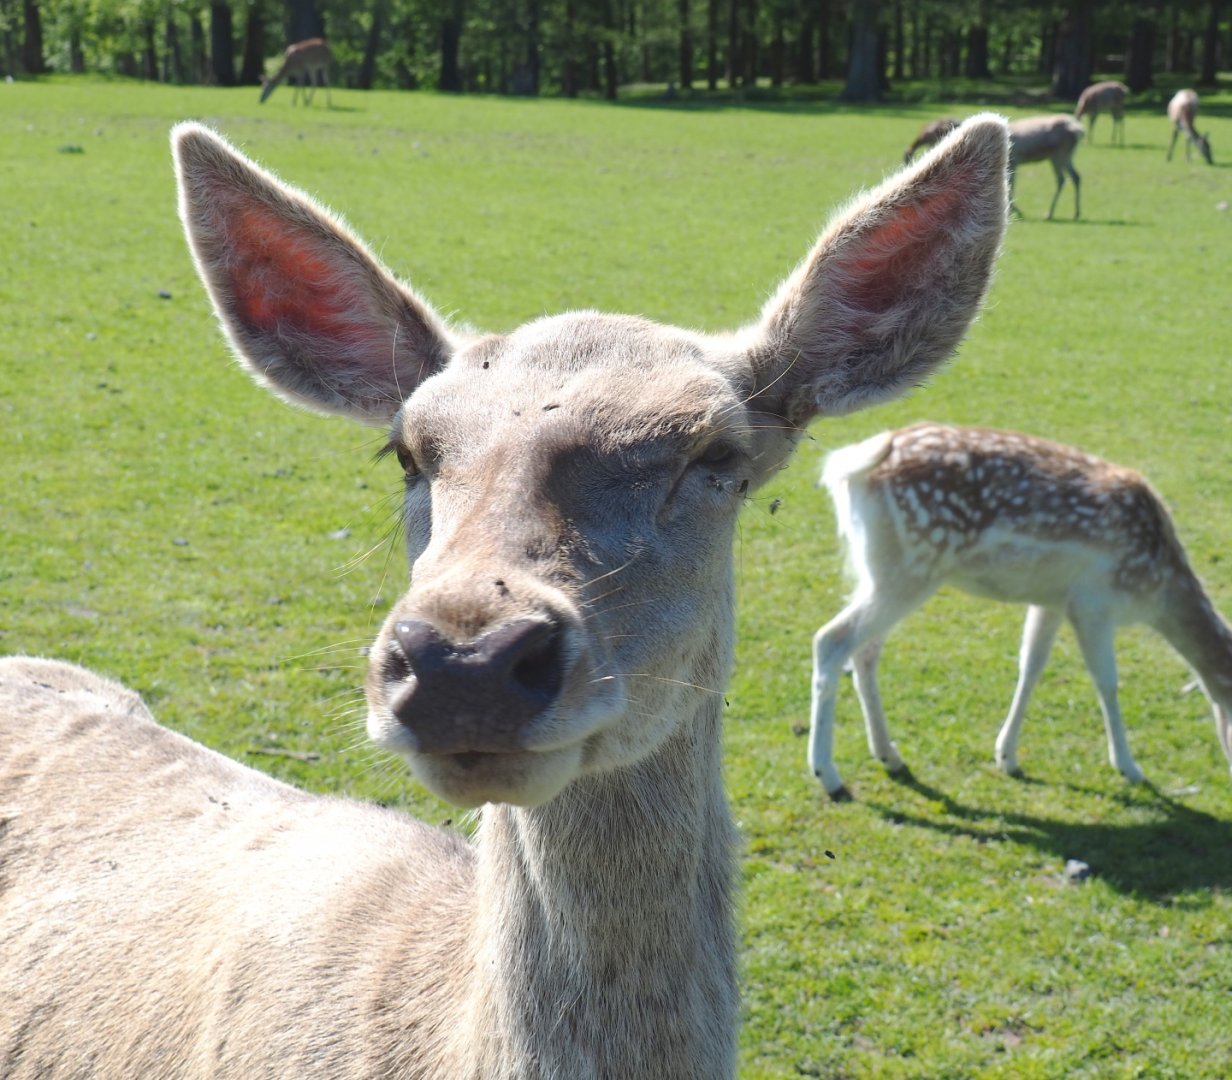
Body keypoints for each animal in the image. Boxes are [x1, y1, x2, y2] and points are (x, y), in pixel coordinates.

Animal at [807, 422, 1232, 800]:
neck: (1154, 591)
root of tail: (849, 467)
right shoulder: (1093, 602)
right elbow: (1107, 681)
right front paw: (1129, 767)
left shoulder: (1053, 601)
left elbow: (1031, 665)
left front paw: (1006, 756)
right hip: (909, 571)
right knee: (831, 639)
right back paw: (829, 775)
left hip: (877, 571)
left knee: (864, 652)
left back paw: (890, 756)